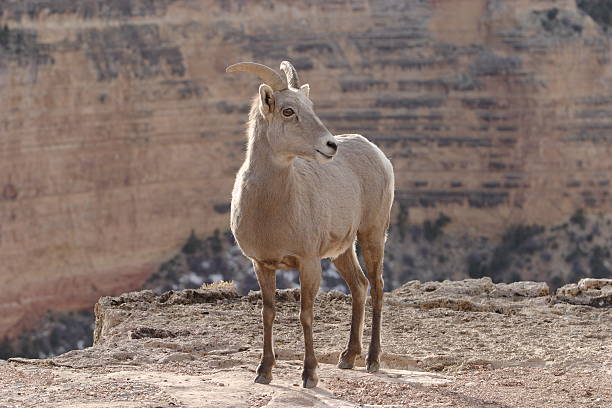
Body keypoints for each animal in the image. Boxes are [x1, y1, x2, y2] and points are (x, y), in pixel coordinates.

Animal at [227, 61, 394, 388]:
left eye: (311, 107)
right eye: (288, 111)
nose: (330, 146)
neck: (272, 210)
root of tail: (377, 153)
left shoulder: (308, 263)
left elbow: (305, 314)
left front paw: (310, 375)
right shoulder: (261, 265)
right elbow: (268, 313)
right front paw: (263, 372)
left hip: (372, 234)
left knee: (378, 286)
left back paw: (372, 361)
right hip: (342, 250)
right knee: (359, 285)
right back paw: (347, 357)